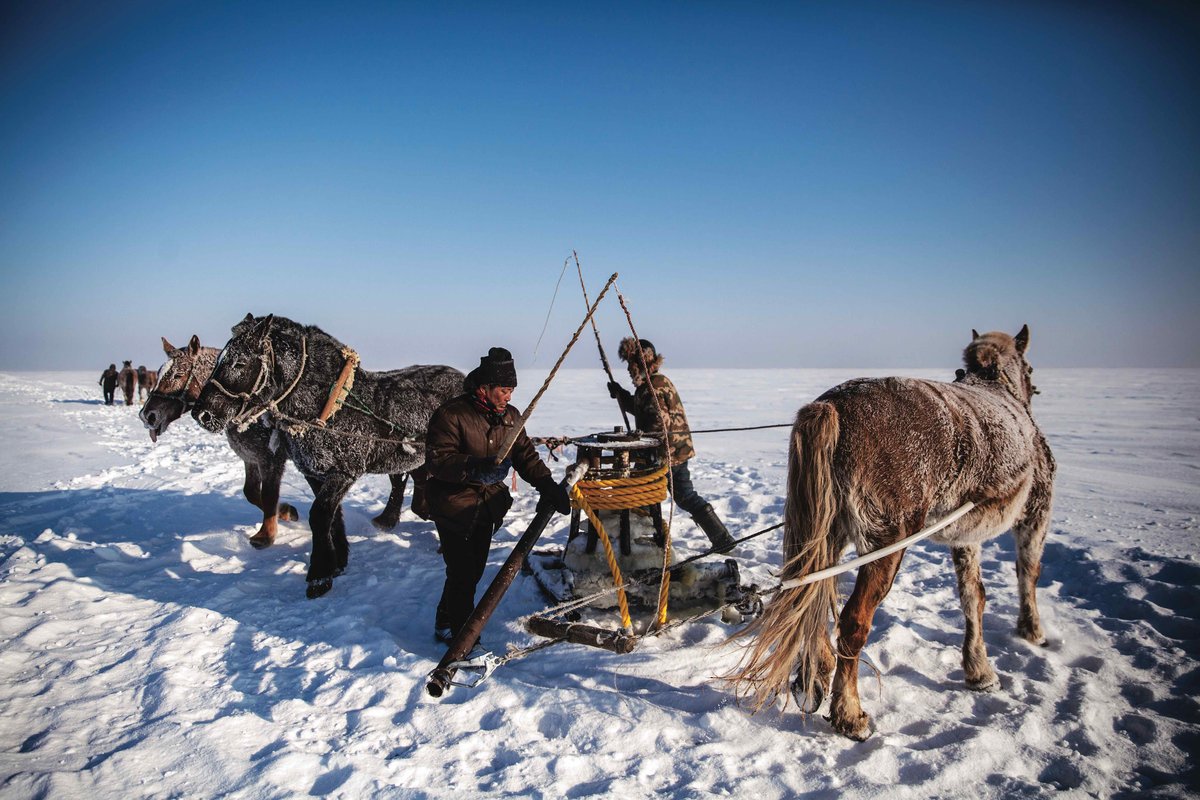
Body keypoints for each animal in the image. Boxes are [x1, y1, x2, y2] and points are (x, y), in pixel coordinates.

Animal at [192, 316, 463, 597]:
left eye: (240, 362)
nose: (201, 413)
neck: (329, 407)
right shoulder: (314, 473)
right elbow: (333, 517)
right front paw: (339, 561)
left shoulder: (343, 473)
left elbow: (319, 515)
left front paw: (319, 575)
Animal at [724, 328, 1056, 743]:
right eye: (1031, 368)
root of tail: (834, 405)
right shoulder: (1036, 513)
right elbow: (1028, 573)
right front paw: (1032, 631)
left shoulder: (966, 534)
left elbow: (972, 597)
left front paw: (979, 669)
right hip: (887, 541)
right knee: (853, 622)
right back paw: (849, 713)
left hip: (826, 533)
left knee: (810, 594)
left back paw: (813, 677)